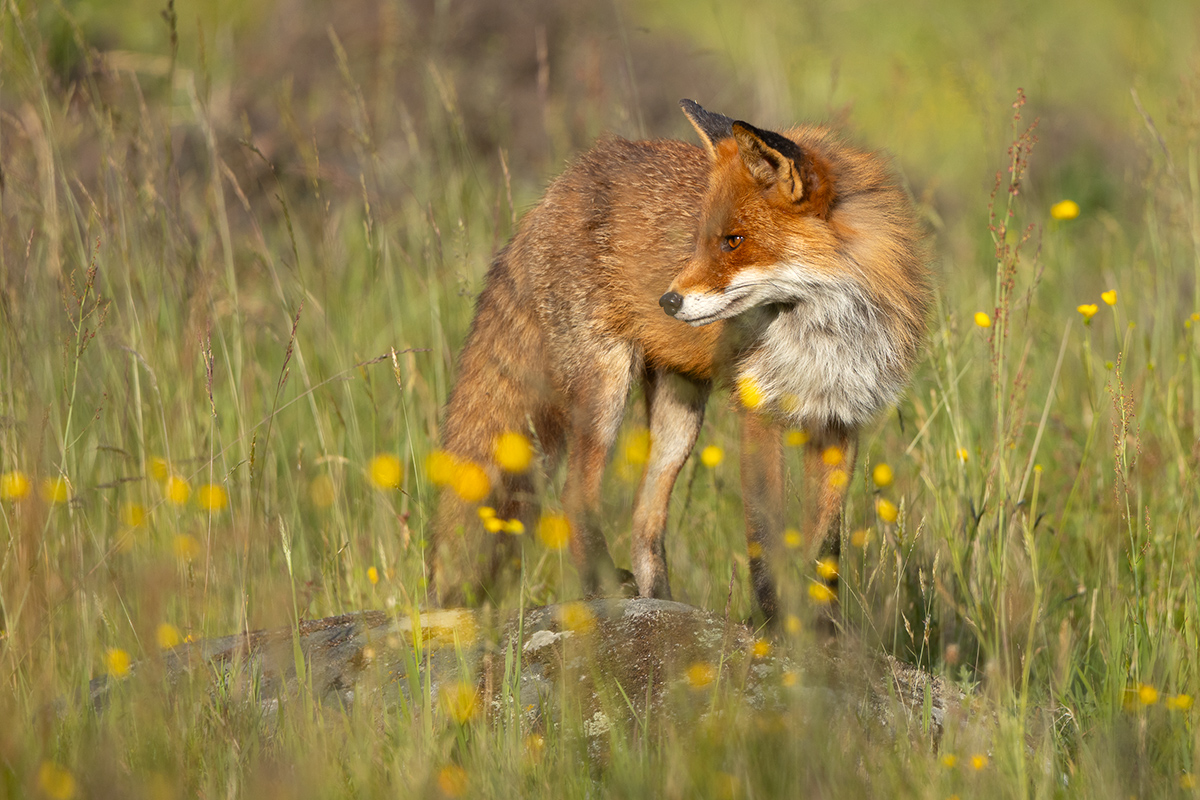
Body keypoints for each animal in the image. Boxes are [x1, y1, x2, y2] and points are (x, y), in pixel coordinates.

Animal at [428, 99, 930, 620]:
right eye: (700, 240)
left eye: (733, 241)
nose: (667, 302)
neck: (821, 333)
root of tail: (561, 185)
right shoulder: (757, 411)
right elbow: (765, 538)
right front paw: (773, 625)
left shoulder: (839, 420)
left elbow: (827, 550)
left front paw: (823, 628)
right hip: (606, 388)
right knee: (574, 498)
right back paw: (606, 587)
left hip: (679, 418)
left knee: (643, 521)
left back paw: (659, 605)